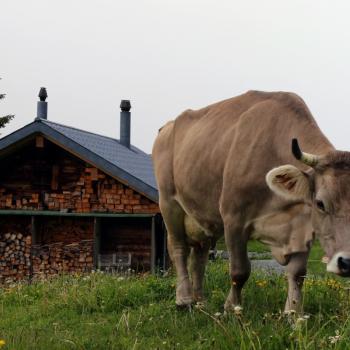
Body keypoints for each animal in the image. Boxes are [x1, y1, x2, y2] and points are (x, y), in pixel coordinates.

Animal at [152, 90, 350, 312]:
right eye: (320, 203)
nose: (347, 262)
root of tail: (166, 127)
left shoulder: (302, 226)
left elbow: (298, 273)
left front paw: (293, 313)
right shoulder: (233, 219)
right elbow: (240, 271)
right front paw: (232, 308)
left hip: (203, 216)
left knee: (199, 258)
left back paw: (201, 302)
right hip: (169, 204)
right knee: (179, 249)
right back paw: (184, 299)